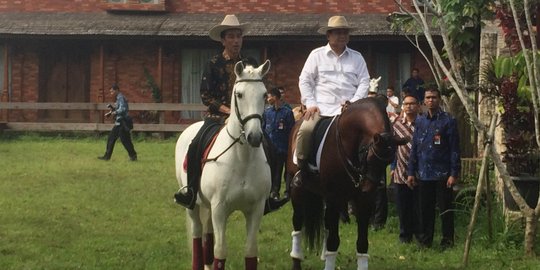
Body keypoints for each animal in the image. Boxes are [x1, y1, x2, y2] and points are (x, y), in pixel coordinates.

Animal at [176, 60, 272, 268]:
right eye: (239, 94)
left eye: (264, 94)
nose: (254, 137)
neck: (242, 159)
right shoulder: (220, 209)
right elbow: (220, 251)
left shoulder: (256, 209)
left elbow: (250, 251)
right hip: (193, 206)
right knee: (197, 234)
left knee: (207, 234)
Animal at [286, 96, 404, 268]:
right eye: (370, 157)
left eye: (389, 162)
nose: (368, 189)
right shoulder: (335, 198)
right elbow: (333, 241)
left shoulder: (363, 202)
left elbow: (362, 243)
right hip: (298, 191)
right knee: (297, 222)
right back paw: (296, 259)